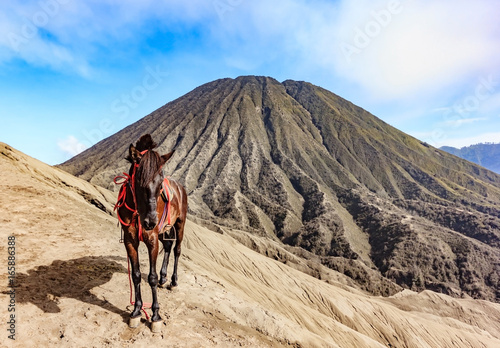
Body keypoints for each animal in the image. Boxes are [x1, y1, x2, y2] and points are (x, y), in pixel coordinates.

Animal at [114, 133, 188, 332]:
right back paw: (164, 277)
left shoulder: (152, 239)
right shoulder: (130, 241)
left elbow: (151, 278)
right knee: (168, 246)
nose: (150, 221)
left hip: (179, 224)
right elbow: (136, 275)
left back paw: (173, 281)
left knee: (177, 250)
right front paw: (136, 311)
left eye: (160, 184)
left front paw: (155, 316)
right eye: (139, 182)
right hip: (163, 229)